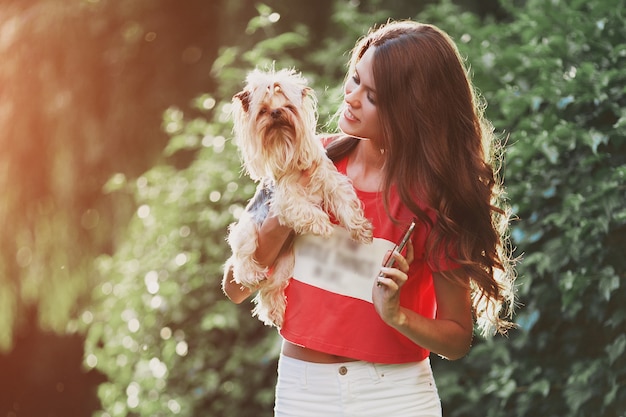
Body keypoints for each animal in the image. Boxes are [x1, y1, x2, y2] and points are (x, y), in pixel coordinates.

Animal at [224, 68, 370, 326]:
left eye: (288, 107)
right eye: (263, 110)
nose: (276, 112)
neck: (286, 146)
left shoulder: (330, 180)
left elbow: (344, 201)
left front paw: (360, 228)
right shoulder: (285, 199)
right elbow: (302, 208)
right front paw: (322, 224)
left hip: (285, 263)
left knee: (271, 287)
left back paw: (273, 310)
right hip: (246, 229)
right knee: (242, 259)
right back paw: (251, 273)